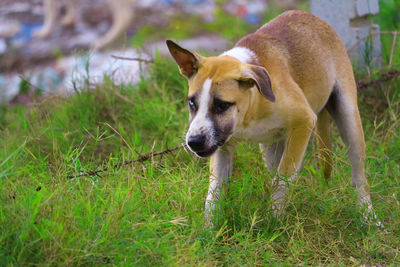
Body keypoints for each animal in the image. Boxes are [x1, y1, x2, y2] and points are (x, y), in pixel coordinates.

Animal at [167, 11, 380, 228]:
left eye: (222, 105)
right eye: (192, 103)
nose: (193, 142)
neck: (252, 104)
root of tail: (314, 18)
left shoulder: (304, 121)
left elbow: (284, 177)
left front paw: (273, 221)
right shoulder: (222, 147)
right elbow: (215, 192)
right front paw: (209, 230)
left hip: (348, 119)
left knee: (359, 177)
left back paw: (368, 217)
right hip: (271, 147)